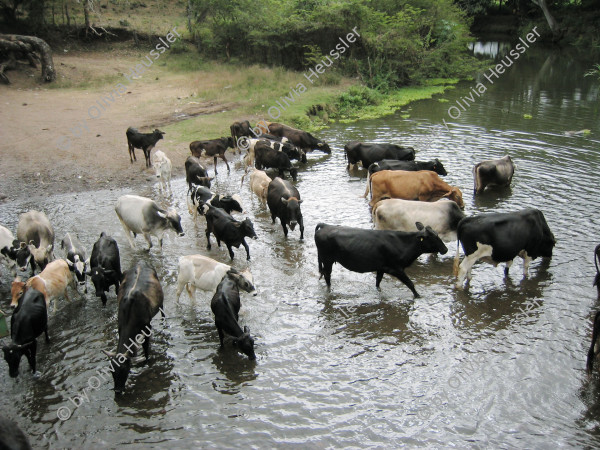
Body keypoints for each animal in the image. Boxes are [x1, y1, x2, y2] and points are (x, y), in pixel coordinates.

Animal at [102, 260, 164, 394]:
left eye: (125, 370)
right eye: (111, 371)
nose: (118, 390)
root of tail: (141, 262)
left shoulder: (147, 326)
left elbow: (146, 348)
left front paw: (147, 361)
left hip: (161, 304)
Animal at [316, 222, 448, 298]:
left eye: (437, 234)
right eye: (433, 237)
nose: (445, 249)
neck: (403, 244)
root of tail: (326, 225)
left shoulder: (381, 268)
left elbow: (378, 282)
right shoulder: (397, 269)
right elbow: (410, 284)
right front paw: (418, 296)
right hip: (327, 260)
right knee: (327, 276)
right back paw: (329, 290)